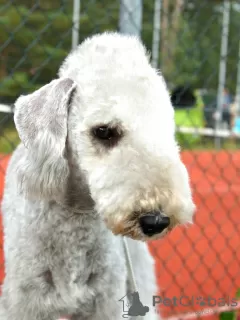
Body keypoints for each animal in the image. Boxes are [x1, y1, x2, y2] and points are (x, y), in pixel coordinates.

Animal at [0, 33, 195, 320]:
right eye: (104, 131)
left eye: (165, 129)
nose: (156, 220)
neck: (75, 216)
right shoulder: (25, 300)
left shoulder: (106, 299)